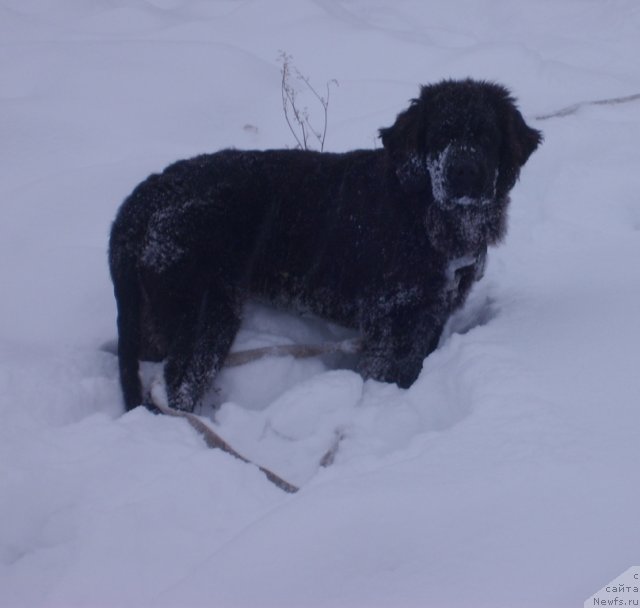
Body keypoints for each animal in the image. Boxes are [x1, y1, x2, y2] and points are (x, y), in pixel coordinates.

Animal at [109, 78, 540, 410]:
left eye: (486, 137)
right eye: (440, 136)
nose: (463, 171)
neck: (425, 211)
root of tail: (144, 196)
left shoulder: (432, 313)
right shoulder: (390, 318)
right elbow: (388, 372)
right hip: (204, 311)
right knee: (178, 382)